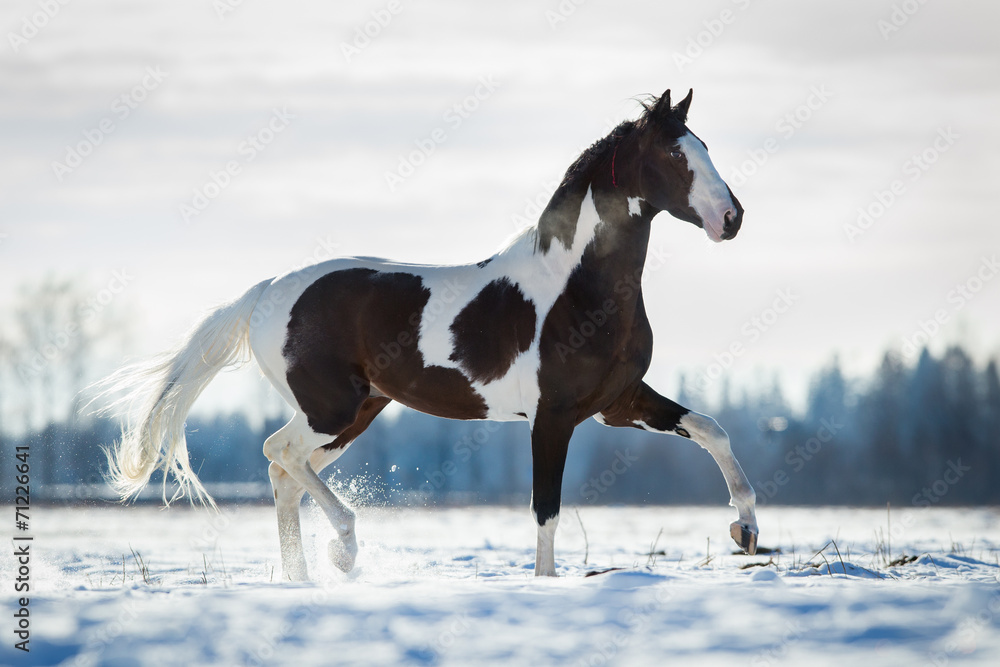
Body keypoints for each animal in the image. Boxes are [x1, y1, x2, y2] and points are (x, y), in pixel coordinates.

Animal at [101, 87, 756, 580]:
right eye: (677, 157)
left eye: (704, 147)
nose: (732, 218)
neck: (576, 290)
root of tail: (266, 291)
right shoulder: (553, 418)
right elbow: (545, 510)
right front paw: (545, 586)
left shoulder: (616, 404)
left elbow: (713, 430)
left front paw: (745, 530)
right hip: (330, 410)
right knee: (277, 453)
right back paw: (343, 550)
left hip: (355, 413)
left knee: (283, 472)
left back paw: (302, 578)